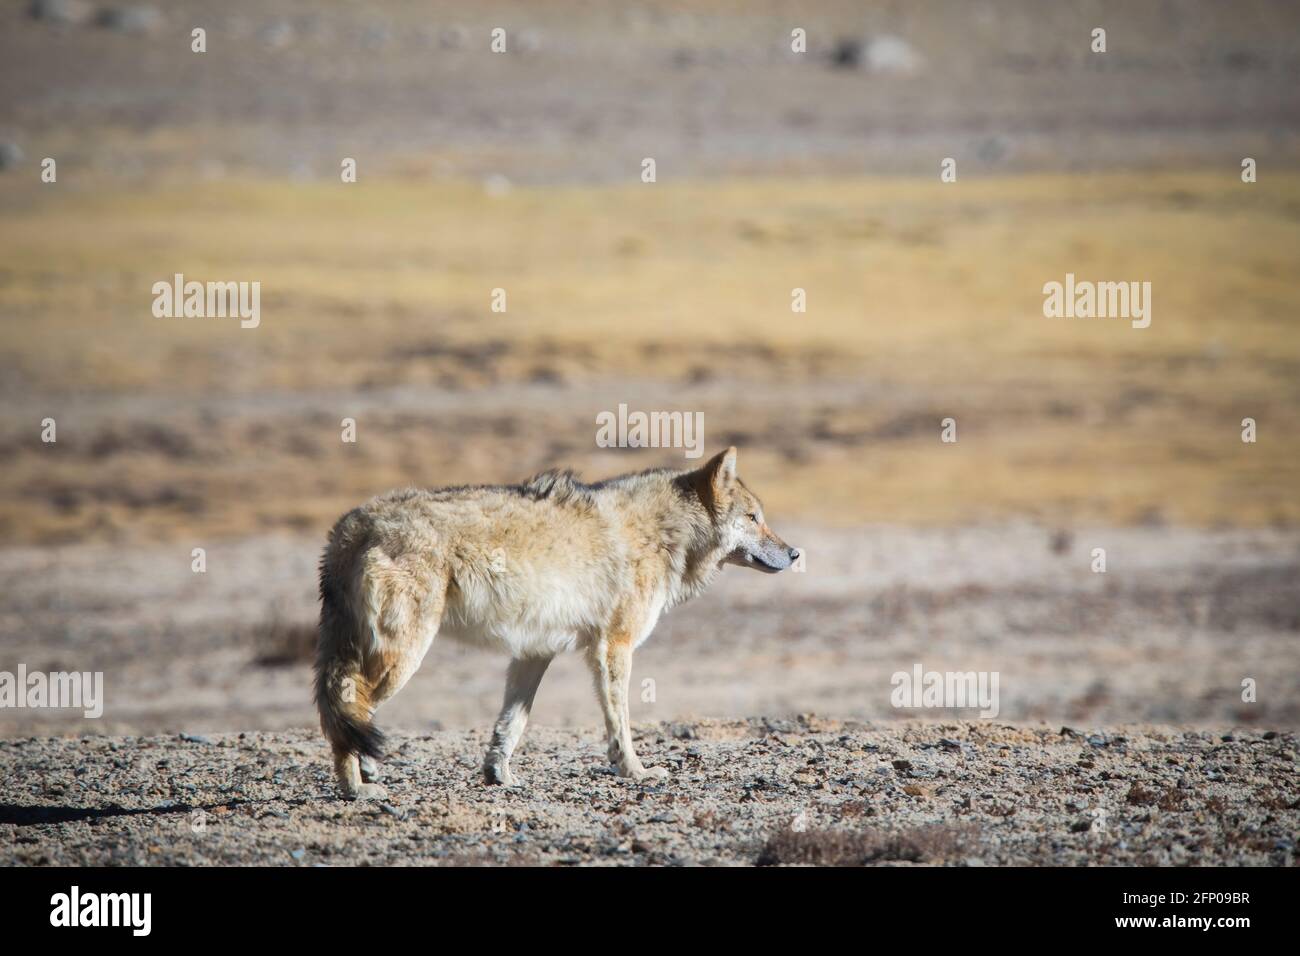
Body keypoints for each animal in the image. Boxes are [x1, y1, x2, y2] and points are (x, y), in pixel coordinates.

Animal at [318, 447, 795, 801]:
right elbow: (620, 722)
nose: (795, 554)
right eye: (754, 518)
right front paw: (636, 771)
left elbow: (511, 724)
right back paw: (355, 787)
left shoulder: (534, 651)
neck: (666, 532)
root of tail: (351, 524)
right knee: (349, 705)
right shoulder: (614, 645)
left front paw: (498, 775)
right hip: (403, 655)